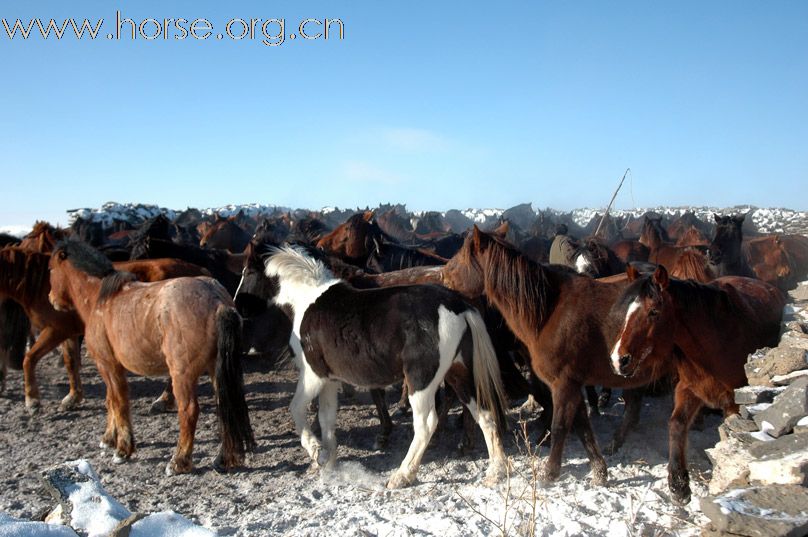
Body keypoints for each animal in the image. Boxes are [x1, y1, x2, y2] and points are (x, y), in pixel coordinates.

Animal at [49, 240, 254, 474]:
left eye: (50, 269)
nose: (51, 299)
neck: (101, 299)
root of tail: (217, 300)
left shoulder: (108, 364)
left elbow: (119, 402)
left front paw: (123, 449)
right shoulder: (109, 367)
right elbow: (110, 400)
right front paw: (109, 438)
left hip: (182, 374)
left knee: (189, 411)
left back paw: (178, 462)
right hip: (215, 368)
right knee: (224, 405)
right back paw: (224, 458)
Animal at [266, 245, 508, 488]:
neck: (308, 299)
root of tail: (459, 306)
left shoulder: (313, 375)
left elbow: (296, 408)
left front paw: (317, 452)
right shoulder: (330, 380)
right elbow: (326, 418)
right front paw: (326, 461)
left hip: (421, 380)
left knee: (426, 424)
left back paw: (402, 475)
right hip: (458, 373)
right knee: (485, 415)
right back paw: (495, 471)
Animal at [608, 266, 784, 500]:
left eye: (653, 312)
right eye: (626, 311)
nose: (618, 360)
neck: (716, 343)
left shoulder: (734, 403)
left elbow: (728, 434)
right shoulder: (689, 389)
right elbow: (676, 425)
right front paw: (678, 484)